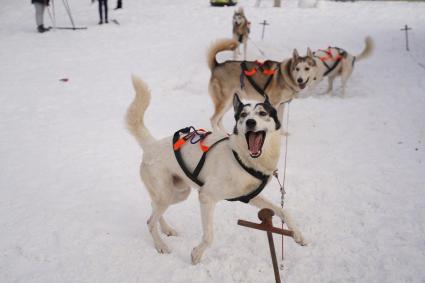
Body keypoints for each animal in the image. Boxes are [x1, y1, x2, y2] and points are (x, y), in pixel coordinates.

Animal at [125, 76, 304, 266]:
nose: (250, 122)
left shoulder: (251, 196)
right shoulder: (207, 197)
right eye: (243, 115)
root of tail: (152, 144)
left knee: (153, 208)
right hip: (167, 194)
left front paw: (298, 235)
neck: (242, 157)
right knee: (150, 221)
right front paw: (196, 255)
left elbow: (283, 211)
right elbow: (209, 236)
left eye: (262, 113)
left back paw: (167, 229)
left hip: (179, 193)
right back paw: (161, 245)